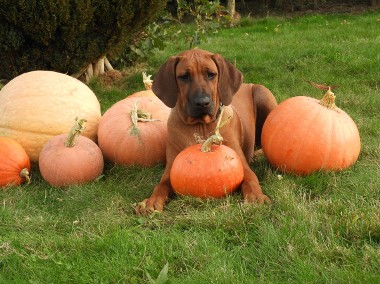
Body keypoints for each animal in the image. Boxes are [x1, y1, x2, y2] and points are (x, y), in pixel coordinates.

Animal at [135, 48, 278, 213]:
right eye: (184, 77)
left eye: (211, 74)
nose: (202, 103)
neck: (200, 125)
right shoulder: (170, 169)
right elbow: (161, 185)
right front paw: (152, 201)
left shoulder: (241, 165)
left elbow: (251, 179)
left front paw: (256, 196)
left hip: (262, 93)